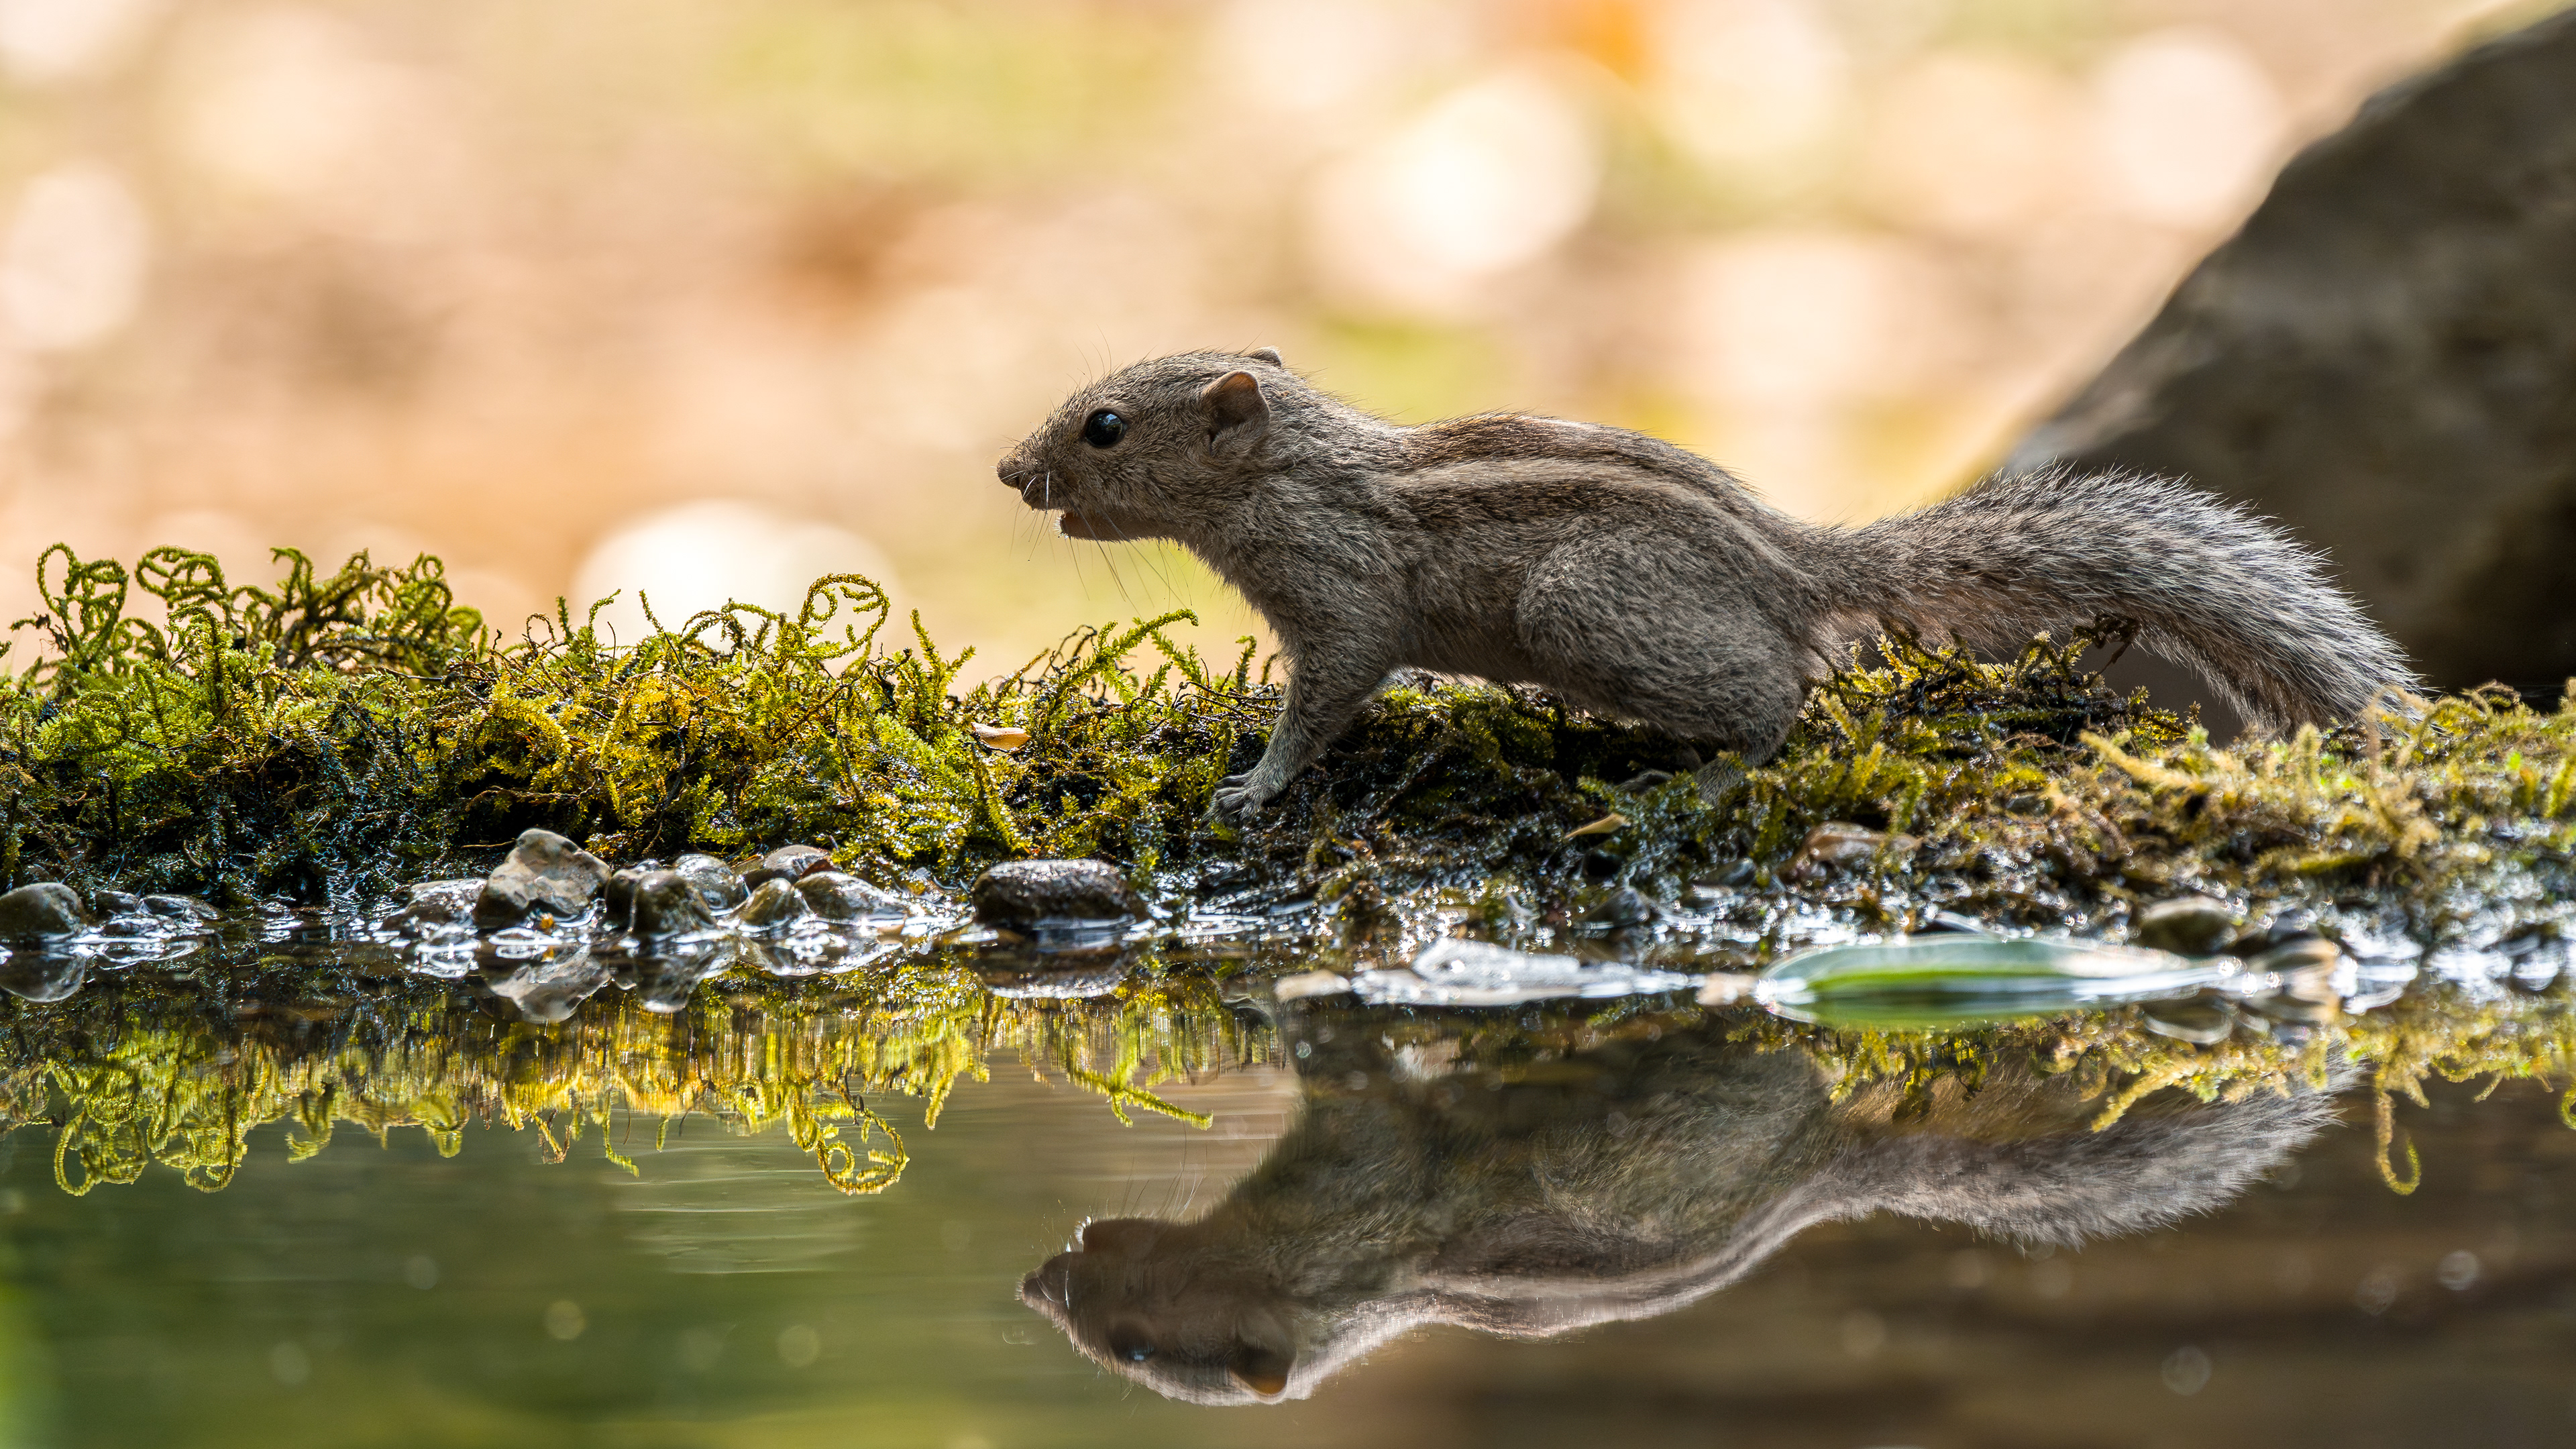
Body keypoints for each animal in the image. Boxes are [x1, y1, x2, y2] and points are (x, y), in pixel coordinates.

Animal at [997, 350, 2416, 822]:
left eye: (1105, 428)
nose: (1011, 470)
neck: (1295, 469)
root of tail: (1791, 565)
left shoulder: (1338, 596)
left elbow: (1330, 691)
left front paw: (1256, 783)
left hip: (1584, 608)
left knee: (1785, 700)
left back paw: (1699, 782)